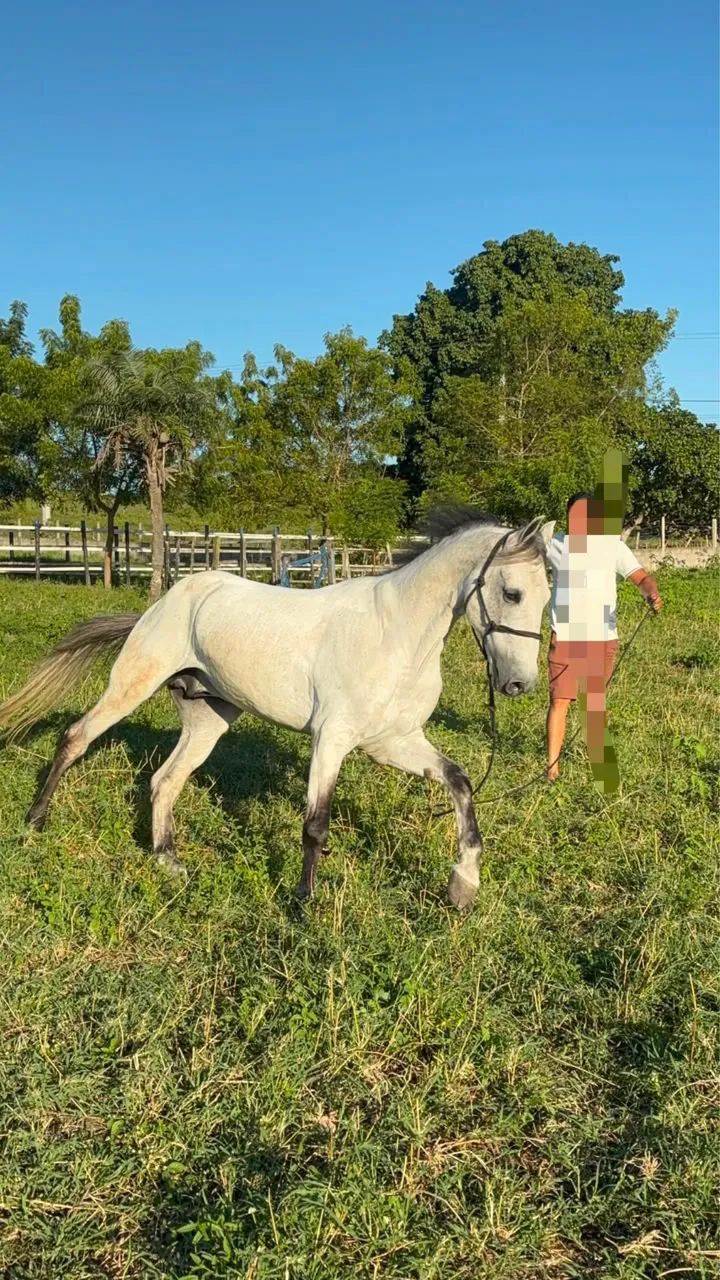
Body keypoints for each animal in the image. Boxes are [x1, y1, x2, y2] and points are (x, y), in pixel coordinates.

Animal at [0, 511, 554, 909]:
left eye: (549, 596)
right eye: (512, 592)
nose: (519, 683)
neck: (395, 636)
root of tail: (168, 600)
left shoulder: (393, 742)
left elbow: (460, 783)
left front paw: (463, 886)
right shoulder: (331, 739)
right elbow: (315, 824)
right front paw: (303, 904)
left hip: (208, 718)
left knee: (164, 781)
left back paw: (168, 862)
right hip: (130, 685)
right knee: (76, 738)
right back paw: (34, 823)